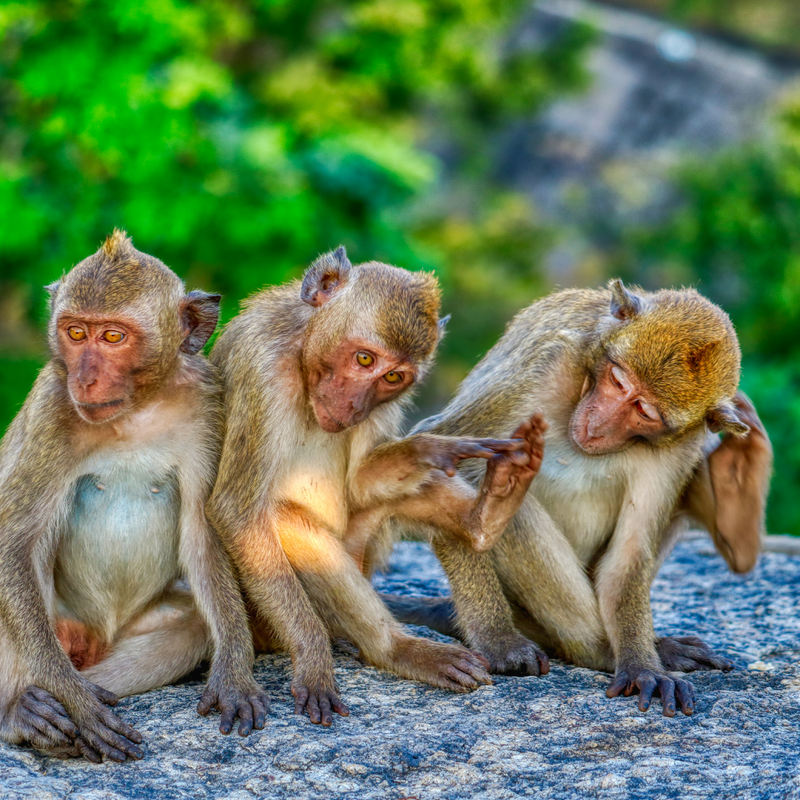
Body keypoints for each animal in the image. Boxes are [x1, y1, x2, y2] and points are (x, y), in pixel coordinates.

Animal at [0, 231, 268, 764]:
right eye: (75, 333)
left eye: (113, 337)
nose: (84, 378)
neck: (136, 410)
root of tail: (91, 638)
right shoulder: (51, 405)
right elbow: (12, 544)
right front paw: (79, 704)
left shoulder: (209, 403)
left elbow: (204, 536)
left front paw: (234, 673)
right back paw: (22, 711)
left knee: (189, 627)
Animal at [203, 244, 548, 724]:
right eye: (365, 358)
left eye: (393, 378)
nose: (353, 405)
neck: (301, 351)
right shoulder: (261, 363)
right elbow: (237, 510)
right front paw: (314, 662)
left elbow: (362, 482)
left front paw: (432, 448)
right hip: (265, 619)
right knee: (283, 518)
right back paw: (392, 648)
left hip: (363, 552)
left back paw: (485, 520)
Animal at [354, 282, 768, 720]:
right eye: (618, 382)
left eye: (644, 410)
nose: (598, 425)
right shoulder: (548, 364)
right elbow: (446, 461)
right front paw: (498, 641)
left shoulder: (680, 442)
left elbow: (630, 554)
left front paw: (642, 664)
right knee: (505, 507)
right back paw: (595, 651)